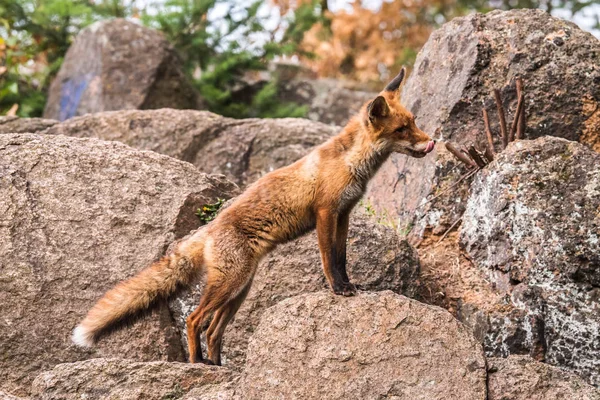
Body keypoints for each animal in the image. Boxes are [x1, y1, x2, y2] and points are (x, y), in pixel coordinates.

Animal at [72, 69, 434, 366]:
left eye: (414, 121)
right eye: (402, 129)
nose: (431, 143)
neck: (350, 163)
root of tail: (209, 228)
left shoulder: (343, 214)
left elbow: (342, 257)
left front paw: (348, 285)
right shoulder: (325, 213)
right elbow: (328, 259)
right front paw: (338, 289)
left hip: (239, 290)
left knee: (213, 330)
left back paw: (218, 365)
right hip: (230, 284)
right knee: (194, 320)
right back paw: (197, 363)